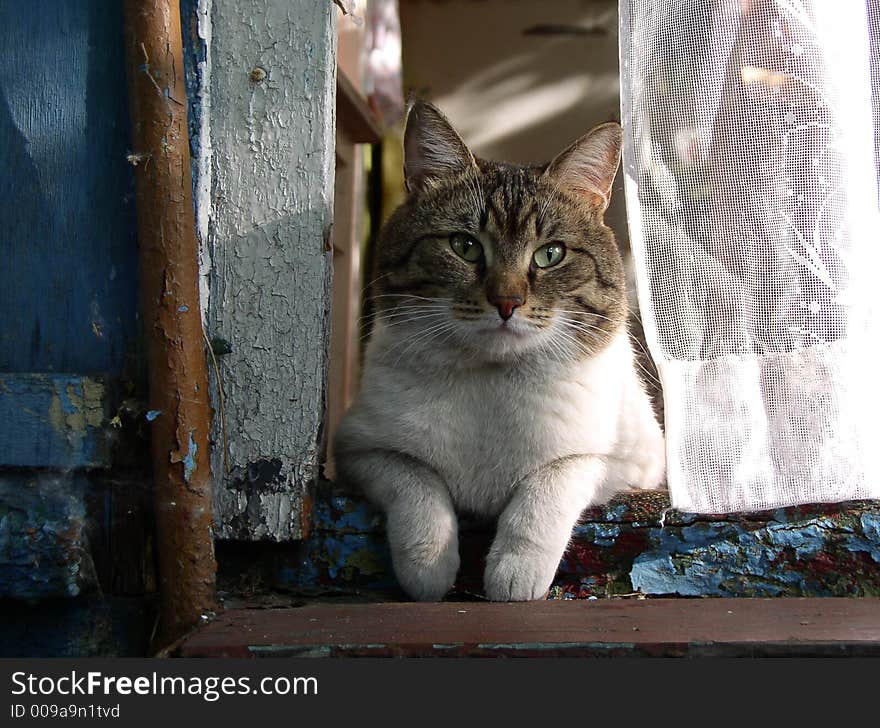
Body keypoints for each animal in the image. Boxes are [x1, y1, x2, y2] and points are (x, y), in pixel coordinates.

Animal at [334, 102, 664, 604]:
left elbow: (553, 477)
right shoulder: (360, 449)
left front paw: (514, 575)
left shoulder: (631, 463)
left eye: (550, 254)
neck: (492, 377)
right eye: (465, 246)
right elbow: (417, 481)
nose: (506, 302)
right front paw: (428, 570)